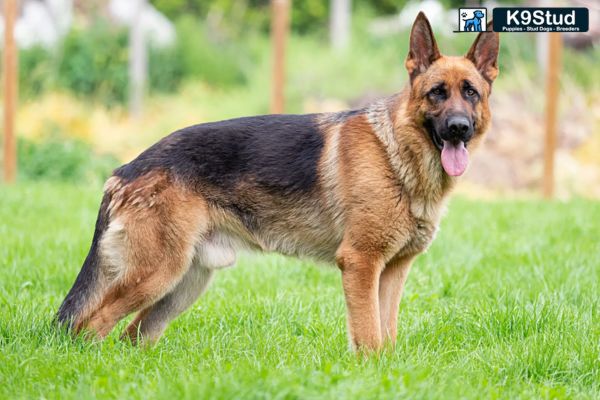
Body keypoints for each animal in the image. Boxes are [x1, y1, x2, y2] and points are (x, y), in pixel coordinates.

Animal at [56, 11, 500, 350]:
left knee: (132, 335)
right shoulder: (360, 263)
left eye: (471, 93)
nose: (458, 128)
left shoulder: (392, 271)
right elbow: (369, 335)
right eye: (437, 93)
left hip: (184, 283)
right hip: (156, 274)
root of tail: (126, 169)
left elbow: (386, 333)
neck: (397, 153)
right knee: (90, 325)